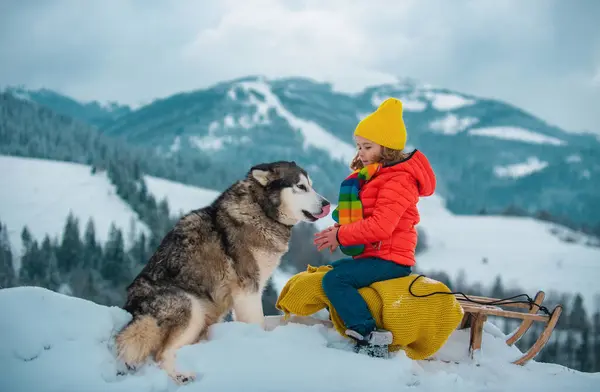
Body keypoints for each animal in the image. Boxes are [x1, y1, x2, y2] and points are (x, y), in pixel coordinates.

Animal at [115, 161, 330, 384]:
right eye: (301, 187)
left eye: (311, 185)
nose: (327, 204)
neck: (261, 209)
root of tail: (133, 309)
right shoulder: (248, 289)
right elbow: (258, 323)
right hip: (192, 307)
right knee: (161, 355)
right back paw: (182, 376)